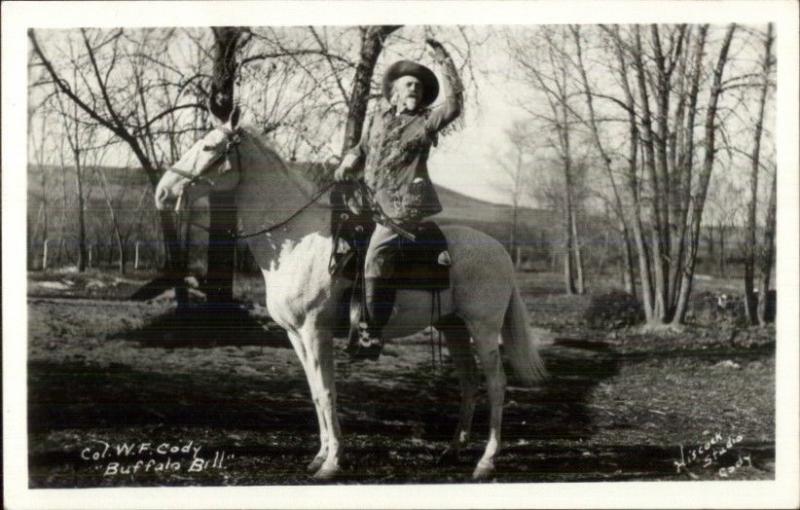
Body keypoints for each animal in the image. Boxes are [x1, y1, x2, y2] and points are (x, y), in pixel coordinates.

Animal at [153, 113, 548, 480]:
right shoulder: (295, 335)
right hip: (453, 328)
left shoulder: (315, 331)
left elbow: (328, 391)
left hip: (483, 328)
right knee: (469, 382)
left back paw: (486, 461)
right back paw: (451, 451)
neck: (297, 239)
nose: (162, 193)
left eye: (208, 147)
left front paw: (332, 463)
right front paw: (320, 456)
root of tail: (501, 252)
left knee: (497, 384)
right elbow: (316, 391)